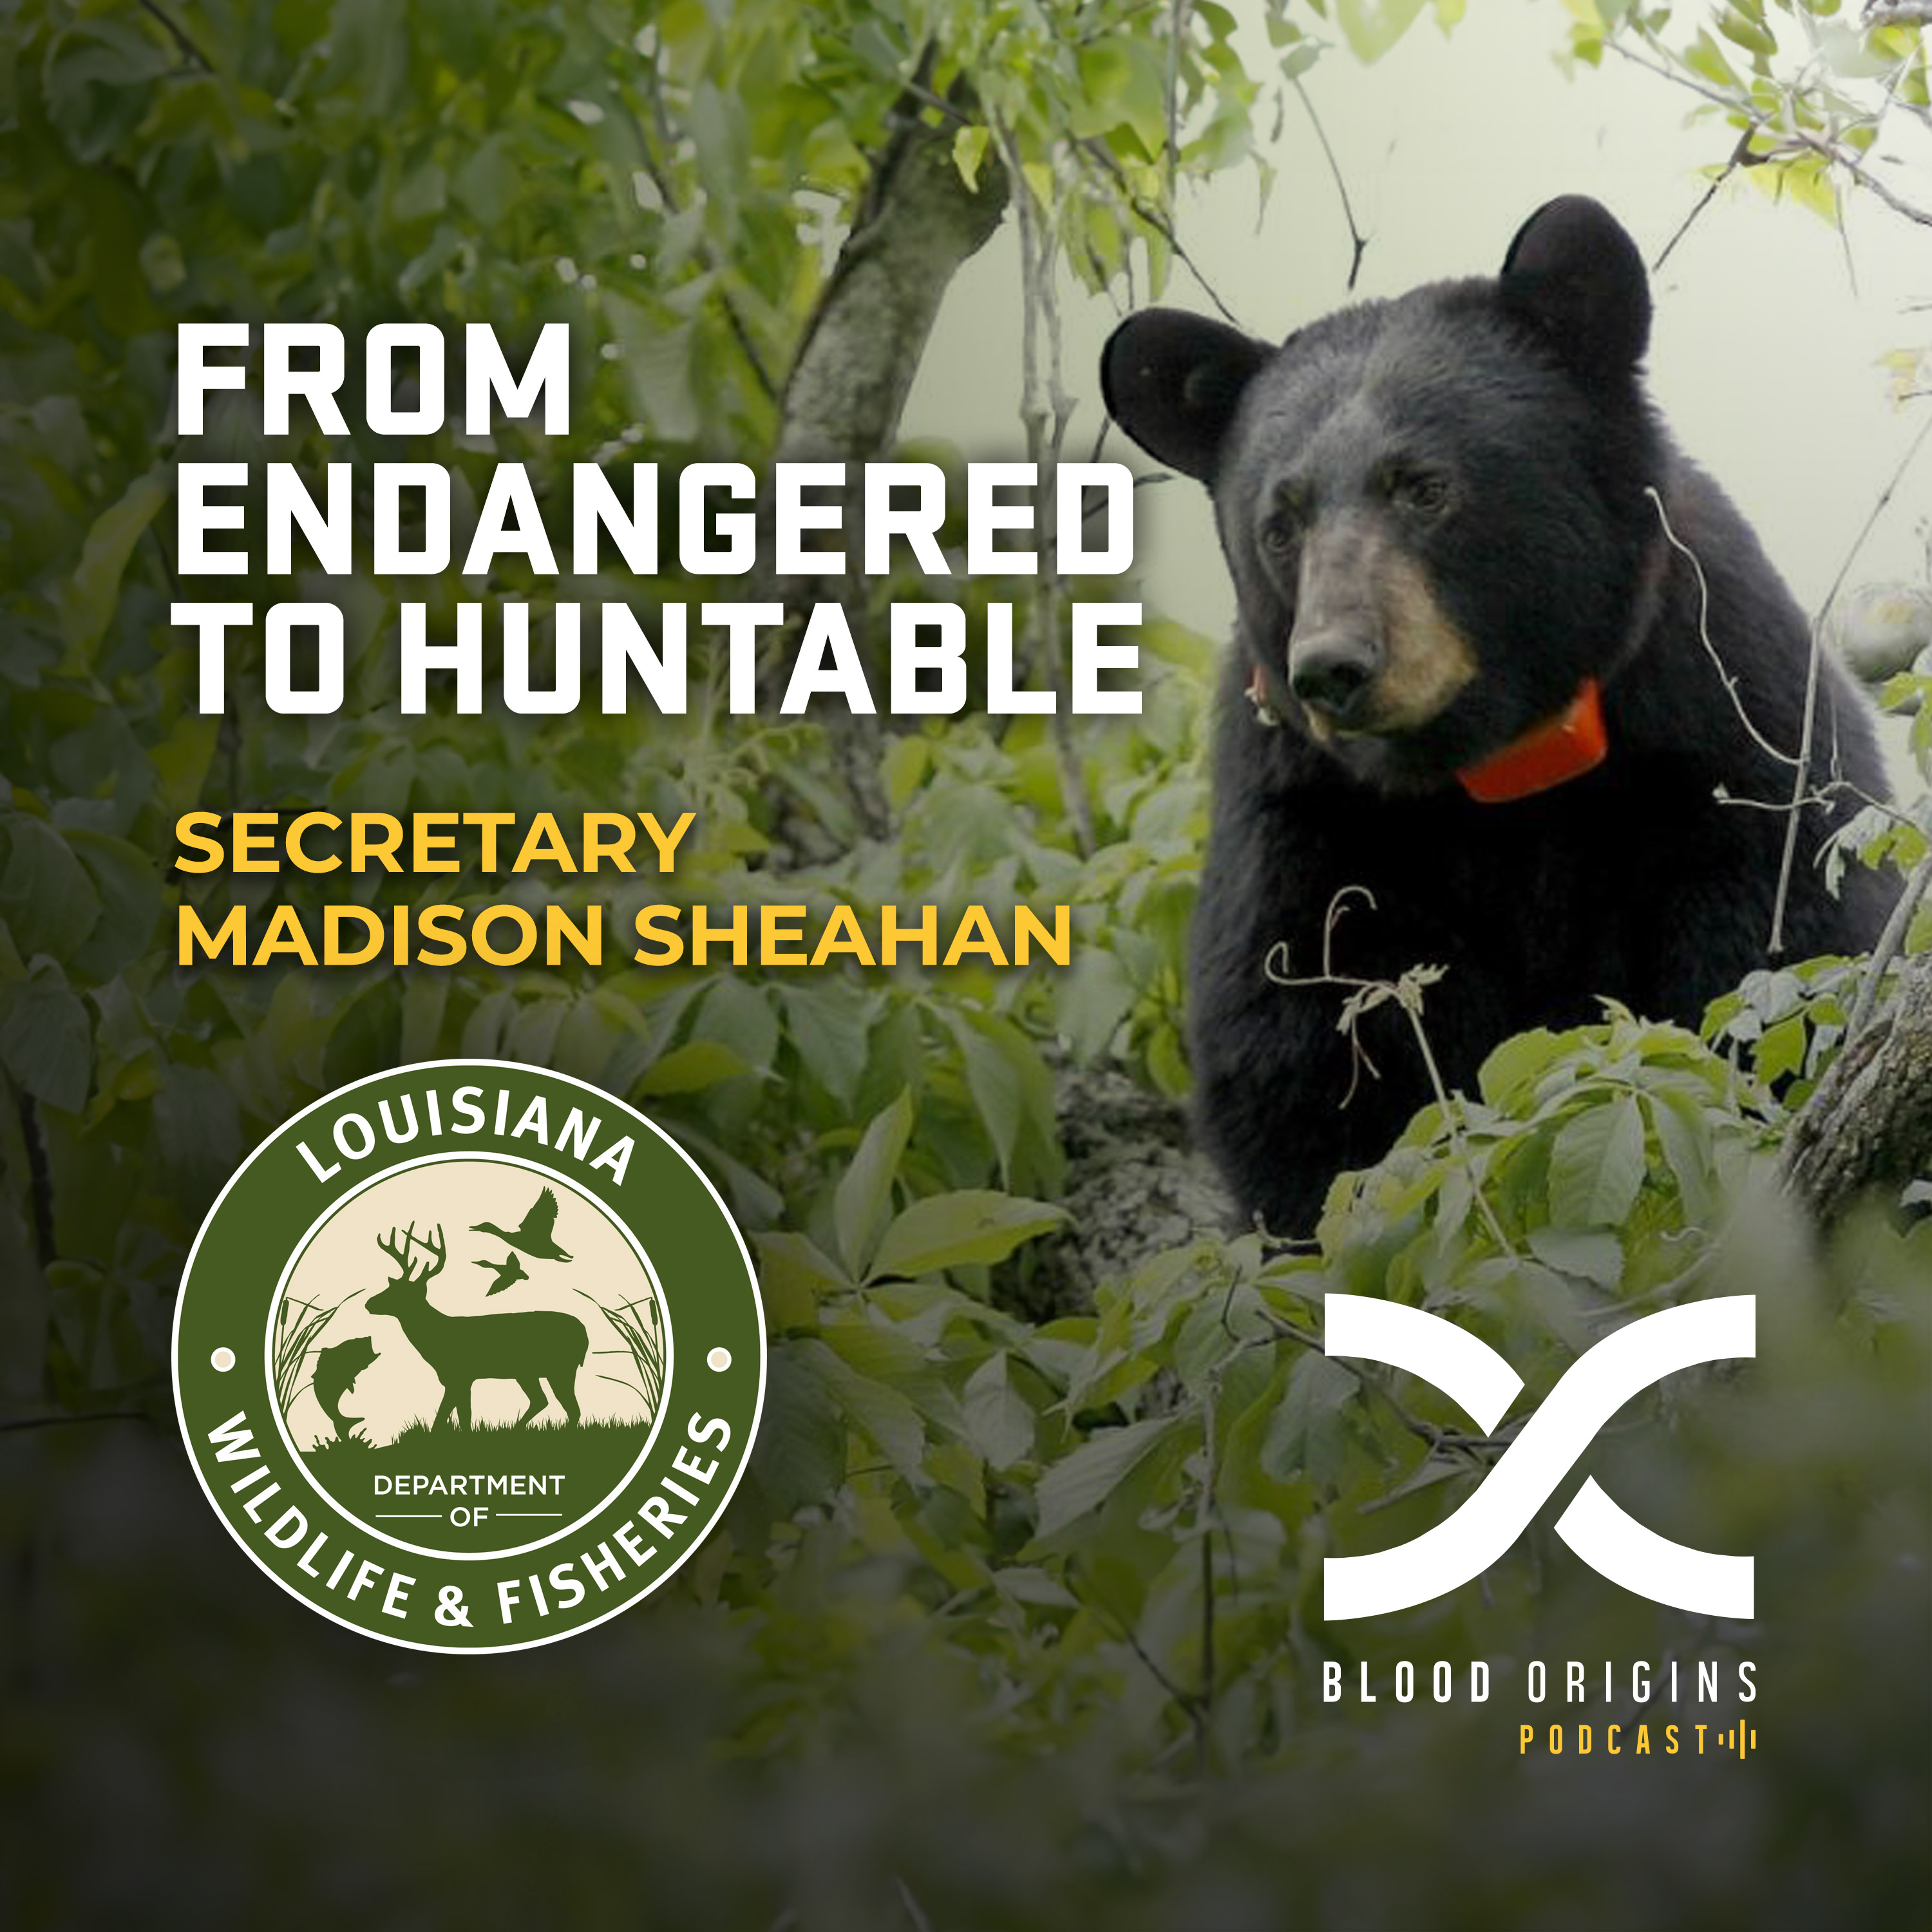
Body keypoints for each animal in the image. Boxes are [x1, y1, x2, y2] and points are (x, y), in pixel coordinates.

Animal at [1100, 195, 1895, 1235]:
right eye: (1280, 523)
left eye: (1424, 487)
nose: (1332, 669)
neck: (1507, 761)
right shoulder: (1307, 818)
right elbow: (1306, 1063)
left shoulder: (1726, 736)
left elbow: (1786, 958)